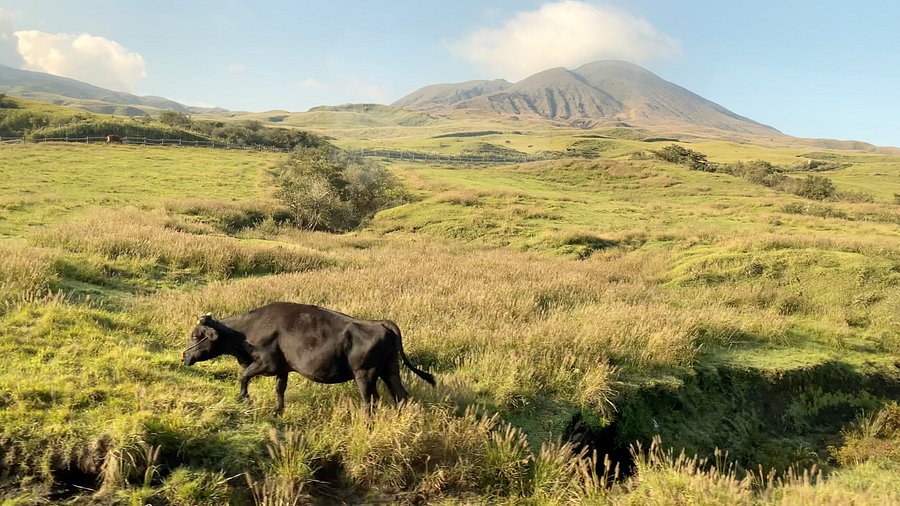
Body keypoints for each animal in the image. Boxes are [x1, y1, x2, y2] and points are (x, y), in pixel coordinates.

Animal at [181, 302, 434, 414]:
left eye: (195, 335)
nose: (184, 356)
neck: (248, 331)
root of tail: (380, 322)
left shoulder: (266, 362)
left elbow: (243, 376)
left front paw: (243, 398)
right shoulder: (282, 368)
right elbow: (279, 389)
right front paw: (278, 410)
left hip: (365, 374)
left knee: (371, 401)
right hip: (390, 369)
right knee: (401, 396)